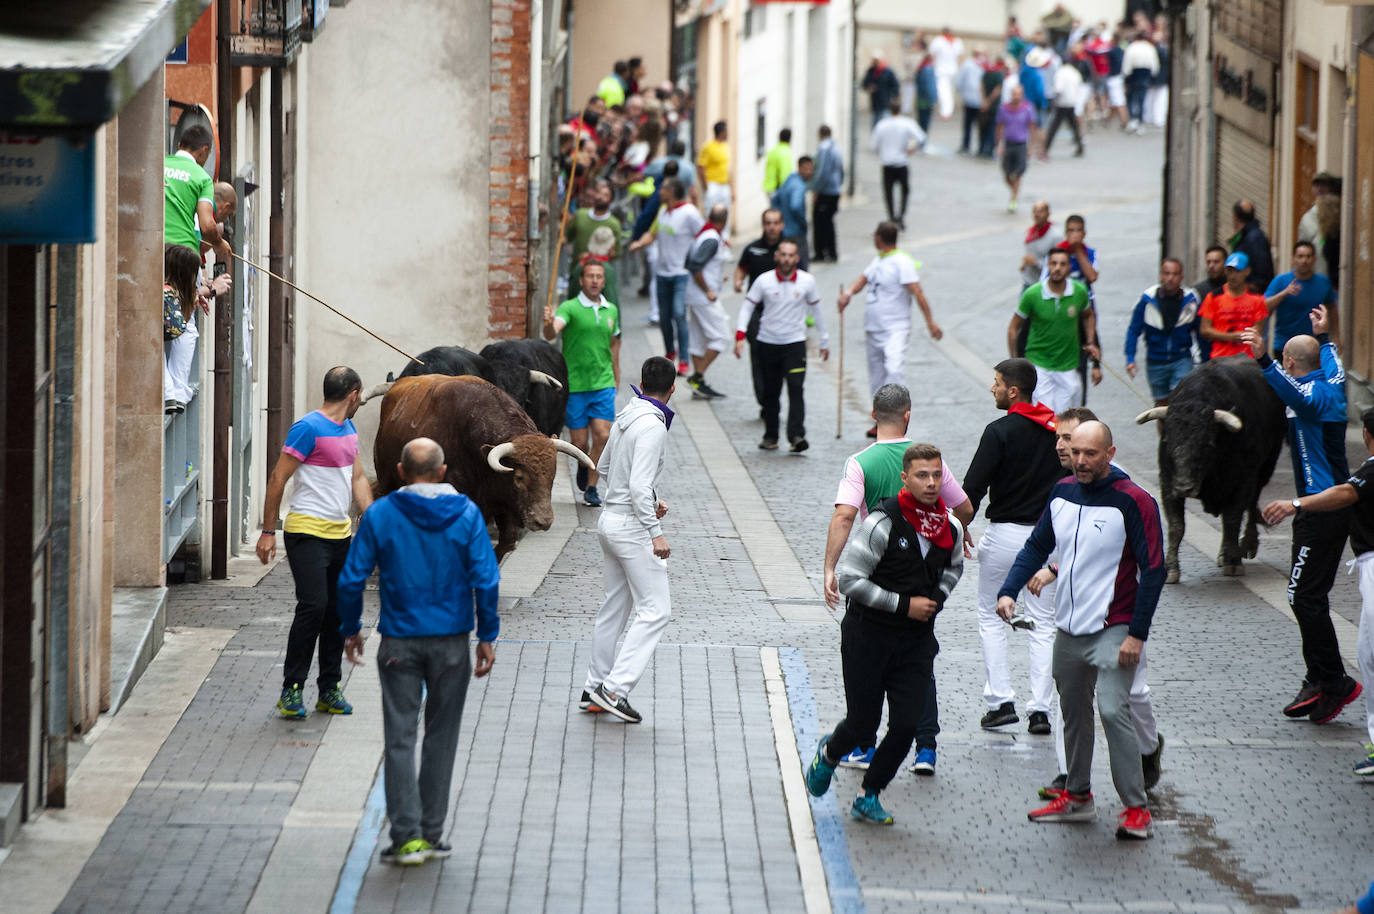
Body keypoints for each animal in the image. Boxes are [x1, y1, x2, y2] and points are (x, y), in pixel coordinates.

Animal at [373, 373, 593, 560]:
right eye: (519, 477)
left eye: (552, 477)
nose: (543, 521)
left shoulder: (504, 504)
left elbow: (506, 542)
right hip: (386, 480)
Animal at [1132, 351, 1280, 580]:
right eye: (1168, 441)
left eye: (1207, 444)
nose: (1184, 487)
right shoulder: (1167, 482)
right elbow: (1176, 526)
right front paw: (1171, 568)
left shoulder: (1243, 481)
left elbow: (1232, 519)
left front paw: (1233, 561)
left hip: (1266, 466)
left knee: (1251, 503)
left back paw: (1247, 544)